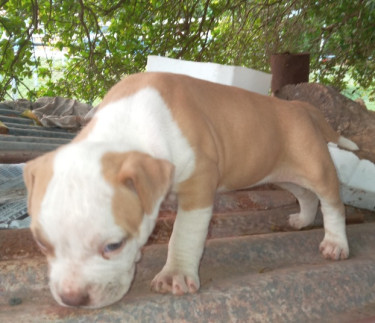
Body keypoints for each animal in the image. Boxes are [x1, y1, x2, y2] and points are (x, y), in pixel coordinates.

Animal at [22, 73, 358, 308]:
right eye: (41, 244)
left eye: (114, 246)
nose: (72, 298)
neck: (125, 128)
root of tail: (301, 107)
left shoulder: (200, 182)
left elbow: (184, 235)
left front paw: (175, 275)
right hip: (277, 171)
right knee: (305, 194)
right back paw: (303, 219)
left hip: (316, 166)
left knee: (331, 202)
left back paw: (335, 243)